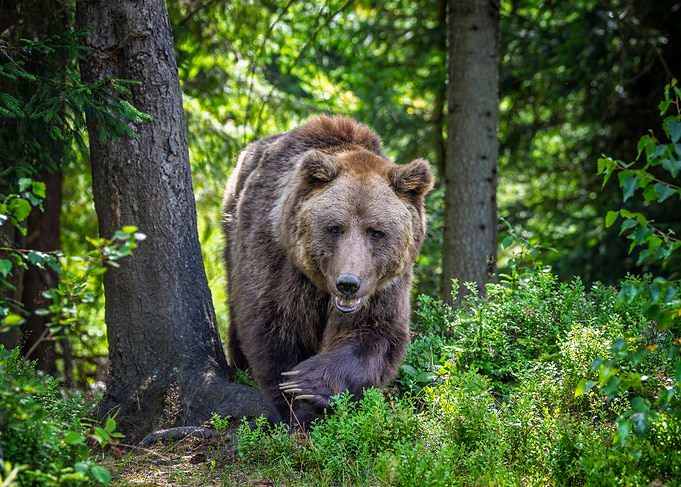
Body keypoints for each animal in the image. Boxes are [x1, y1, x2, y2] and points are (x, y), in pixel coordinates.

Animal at [222, 115, 433, 425]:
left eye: (376, 232)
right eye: (335, 228)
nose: (348, 283)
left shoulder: (384, 285)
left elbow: (374, 334)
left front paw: (309, 384)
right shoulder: (277, 263)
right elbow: (274, 330)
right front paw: (294, 400)